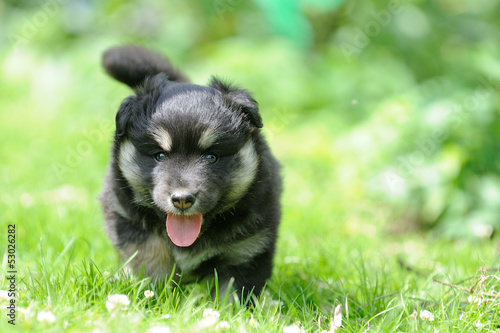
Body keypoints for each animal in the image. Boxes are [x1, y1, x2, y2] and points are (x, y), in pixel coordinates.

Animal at [99, 45, 284, 300]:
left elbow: (231, 296)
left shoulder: (248, 249)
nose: (182, 199)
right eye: (160, 155)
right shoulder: (127, 218)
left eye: (211, 157)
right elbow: (151, 258)